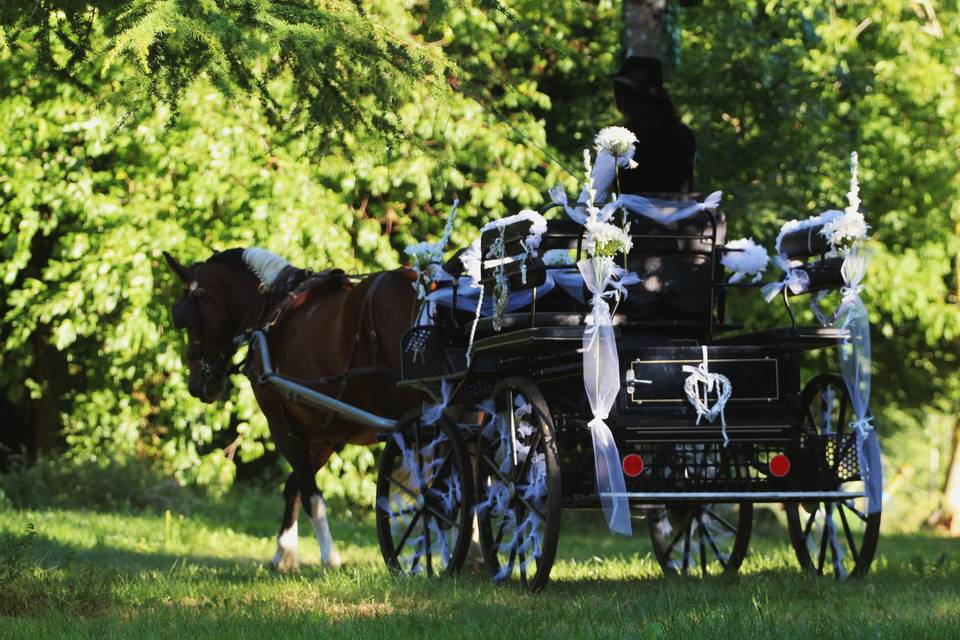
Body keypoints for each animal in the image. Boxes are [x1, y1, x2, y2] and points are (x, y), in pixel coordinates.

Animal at [163, 246, 422, 568]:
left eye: (187, 318)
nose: (197, 385)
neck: (273, 308)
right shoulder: (324, 435)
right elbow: (294, 486)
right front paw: (284, 552)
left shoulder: (282, 425)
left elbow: (311, 494)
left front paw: (328, 556)